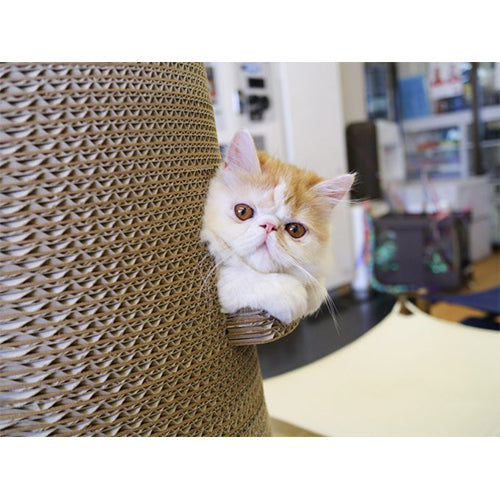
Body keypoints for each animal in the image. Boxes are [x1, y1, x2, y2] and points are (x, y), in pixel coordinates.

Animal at [200, 129, 354, 324]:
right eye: (243, 211)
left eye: (295, 230)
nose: (269, 226)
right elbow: (240, 277)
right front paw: (294, 296)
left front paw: (313, 293)